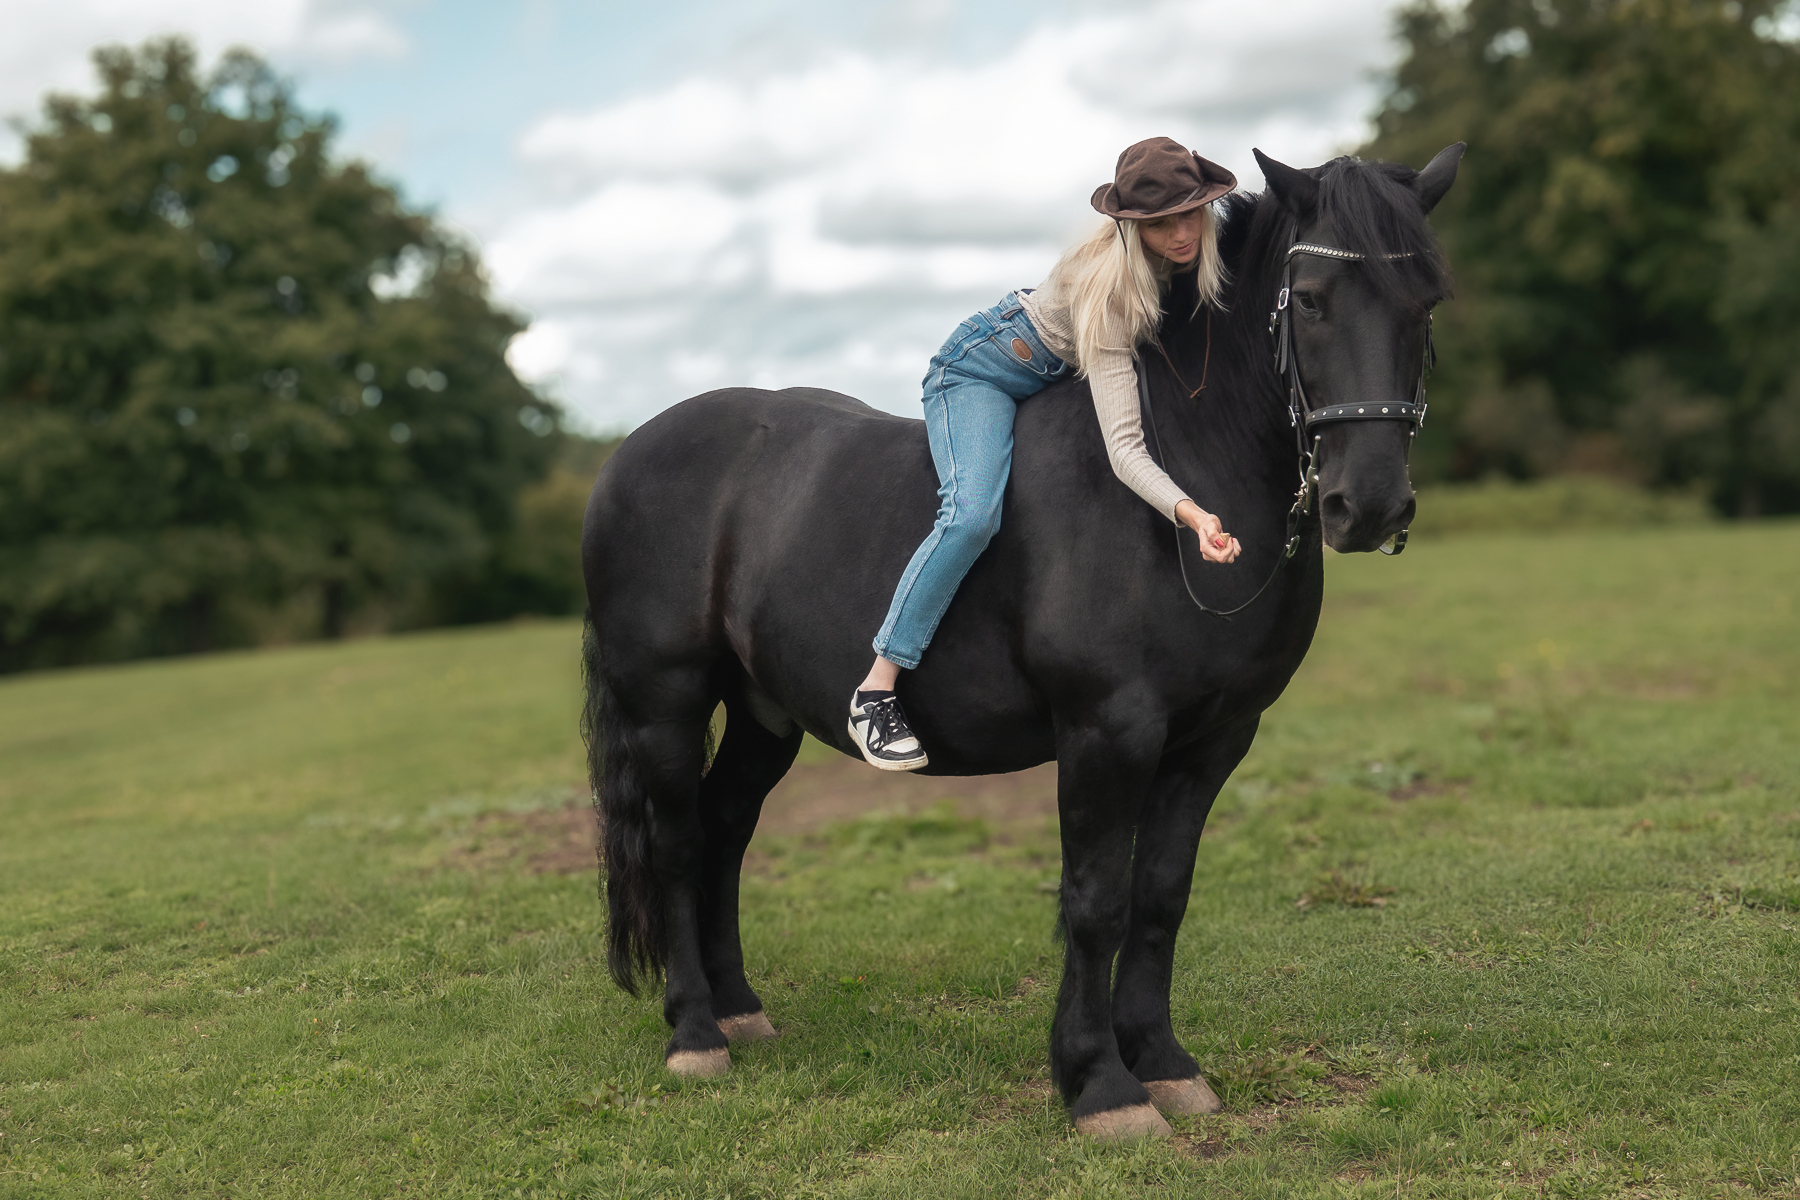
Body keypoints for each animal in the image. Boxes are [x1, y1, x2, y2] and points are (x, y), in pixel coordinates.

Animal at [579, 144, 1464, 1140]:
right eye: (1309, 298)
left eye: (1426, 301)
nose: (1371, 505)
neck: (1183, 471)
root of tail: (627, 453)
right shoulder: (1106, 734)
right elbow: (1096, 903)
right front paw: (1102, 1084)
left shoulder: (1213, 742)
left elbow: (1161, 898)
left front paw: (1164, 1063)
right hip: (665, 701)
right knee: (679, 842)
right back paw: (696, 1031)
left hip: (763, 712)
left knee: (726, 829)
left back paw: (739, 1009)